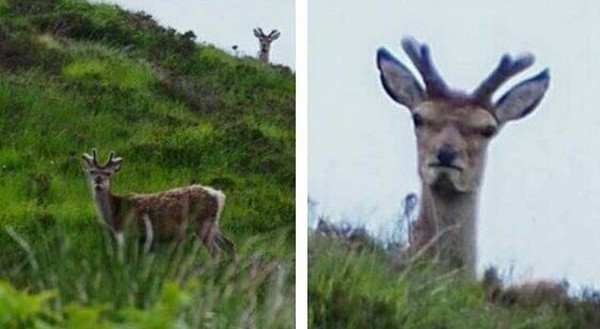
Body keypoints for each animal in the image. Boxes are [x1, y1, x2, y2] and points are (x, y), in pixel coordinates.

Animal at [81, 147, 234, 258]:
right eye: (92, 171)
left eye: (108, 173)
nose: (98, 180)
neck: (116, 212)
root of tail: (219, 195)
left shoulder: (134, 234)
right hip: (213, 223)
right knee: (230, 244)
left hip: (203, 222)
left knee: (216, 252)